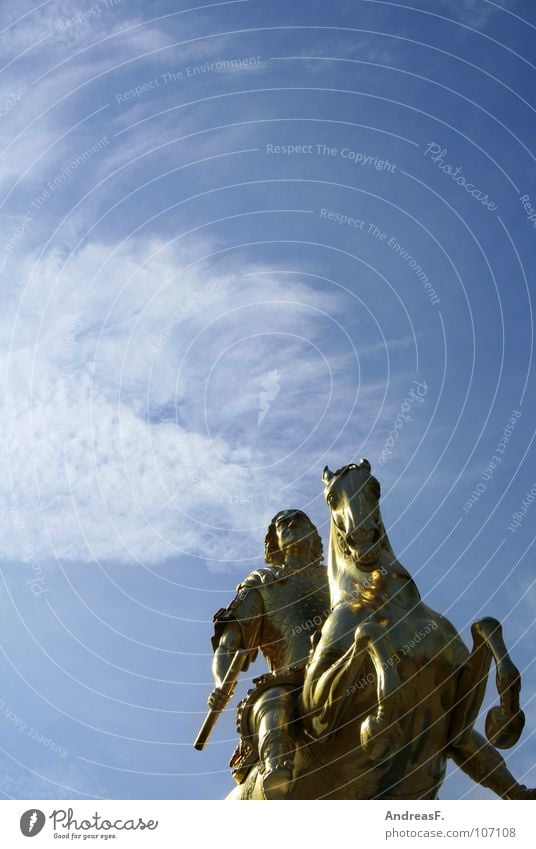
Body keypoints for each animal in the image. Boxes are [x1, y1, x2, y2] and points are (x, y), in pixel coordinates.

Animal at [302, 460, 532, 800]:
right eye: (331, 498)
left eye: (375, 487)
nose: (364, 540)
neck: (386, 597)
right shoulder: (315, 713)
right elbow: (369, 632)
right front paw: (380, 726)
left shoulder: (456, 721)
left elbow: (486, 625)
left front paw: (505, 721)